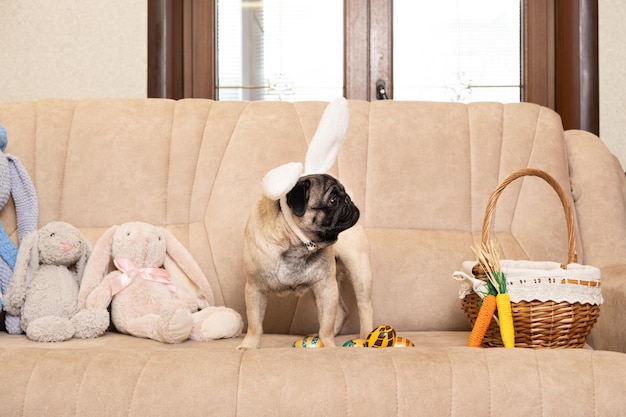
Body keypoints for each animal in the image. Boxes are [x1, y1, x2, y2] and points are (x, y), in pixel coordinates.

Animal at [235, 172, 370, 348]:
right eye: (333, 200)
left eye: (344, 194)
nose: (347, 199)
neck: (295, 243)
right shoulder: (255, 288)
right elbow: (254, 323)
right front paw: (249, 345)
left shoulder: (326, 286)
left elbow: (326, 323)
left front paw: (329, 345)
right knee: (342, 311)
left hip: (359, 271)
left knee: (364, 306)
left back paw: (367, 336)